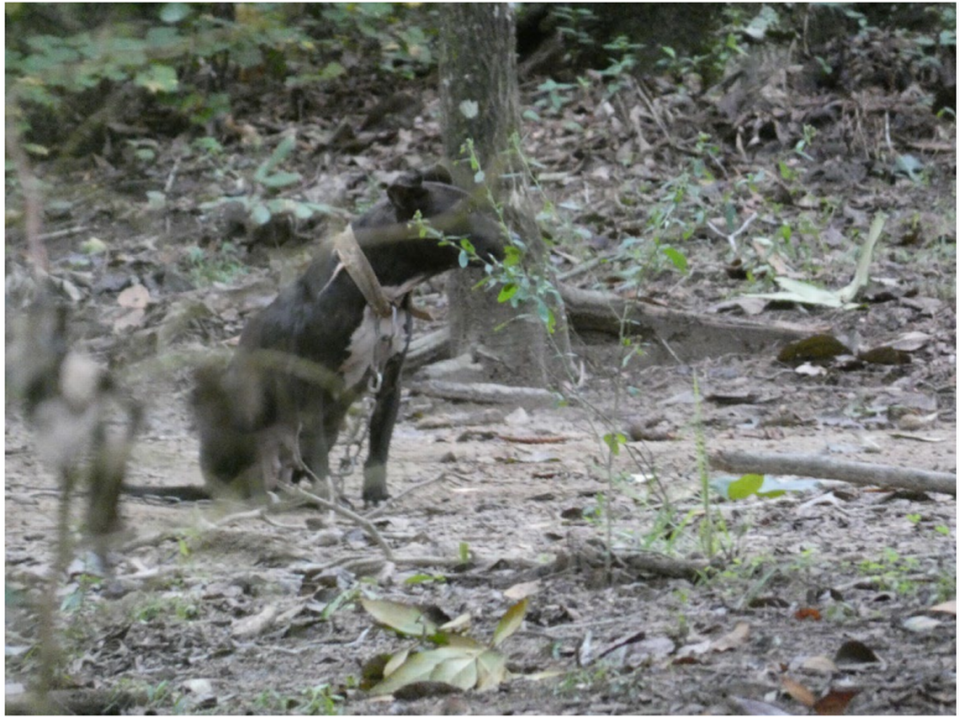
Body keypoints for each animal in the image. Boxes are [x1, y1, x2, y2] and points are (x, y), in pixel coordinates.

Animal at [195, 168, 510, 504]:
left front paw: (375, 493)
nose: (512, 239)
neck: (377, 295)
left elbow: (378, 446)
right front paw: (328, 497)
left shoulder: (390, 382)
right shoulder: (310, 384)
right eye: (467, 212)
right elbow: (317, 448)